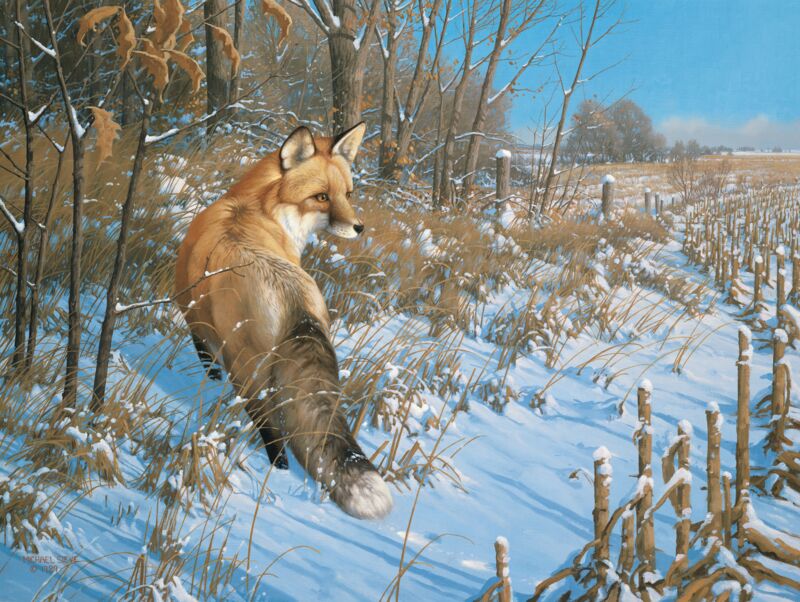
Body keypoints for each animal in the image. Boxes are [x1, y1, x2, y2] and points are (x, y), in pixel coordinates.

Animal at [174, 123, 393, 519]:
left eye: (347, 194)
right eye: (321, 197)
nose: (359, 227)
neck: (256, 207)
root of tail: (292, 298)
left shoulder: (192, 315)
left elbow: (203, 355)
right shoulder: (191, 313)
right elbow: (203, 353)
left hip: (248, 370)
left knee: (268, 423)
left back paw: (277, 469)